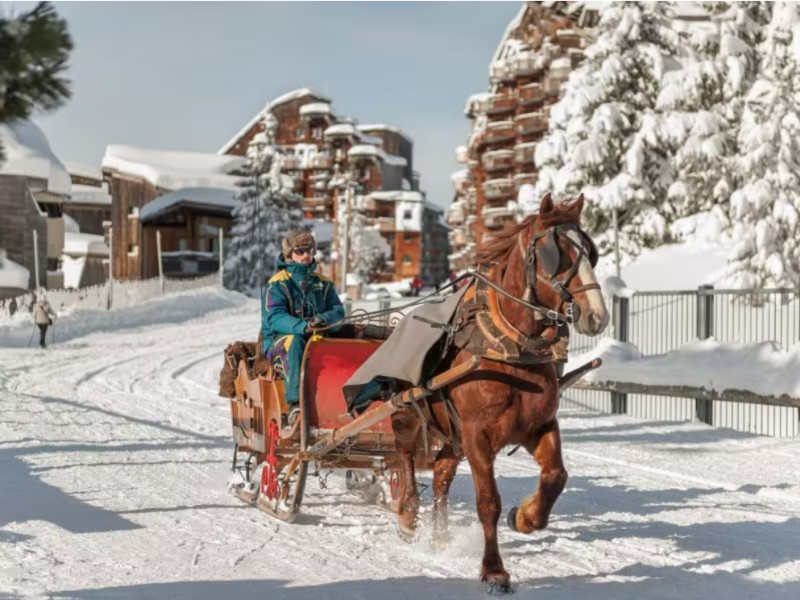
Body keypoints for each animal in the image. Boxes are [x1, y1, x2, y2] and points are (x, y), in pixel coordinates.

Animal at [390, 195, 608, 592]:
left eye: (590, 251)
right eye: (557, 252)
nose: (597, 316)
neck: (511, 349)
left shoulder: (539, 425)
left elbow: (556, 476)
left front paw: (524, 517)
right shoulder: (477, 435)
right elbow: (488, 501)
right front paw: (494, 570)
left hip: (452, 436)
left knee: (441, 475)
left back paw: (440, 535)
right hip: (408, 414)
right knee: (406, 457)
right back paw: (408, 514)